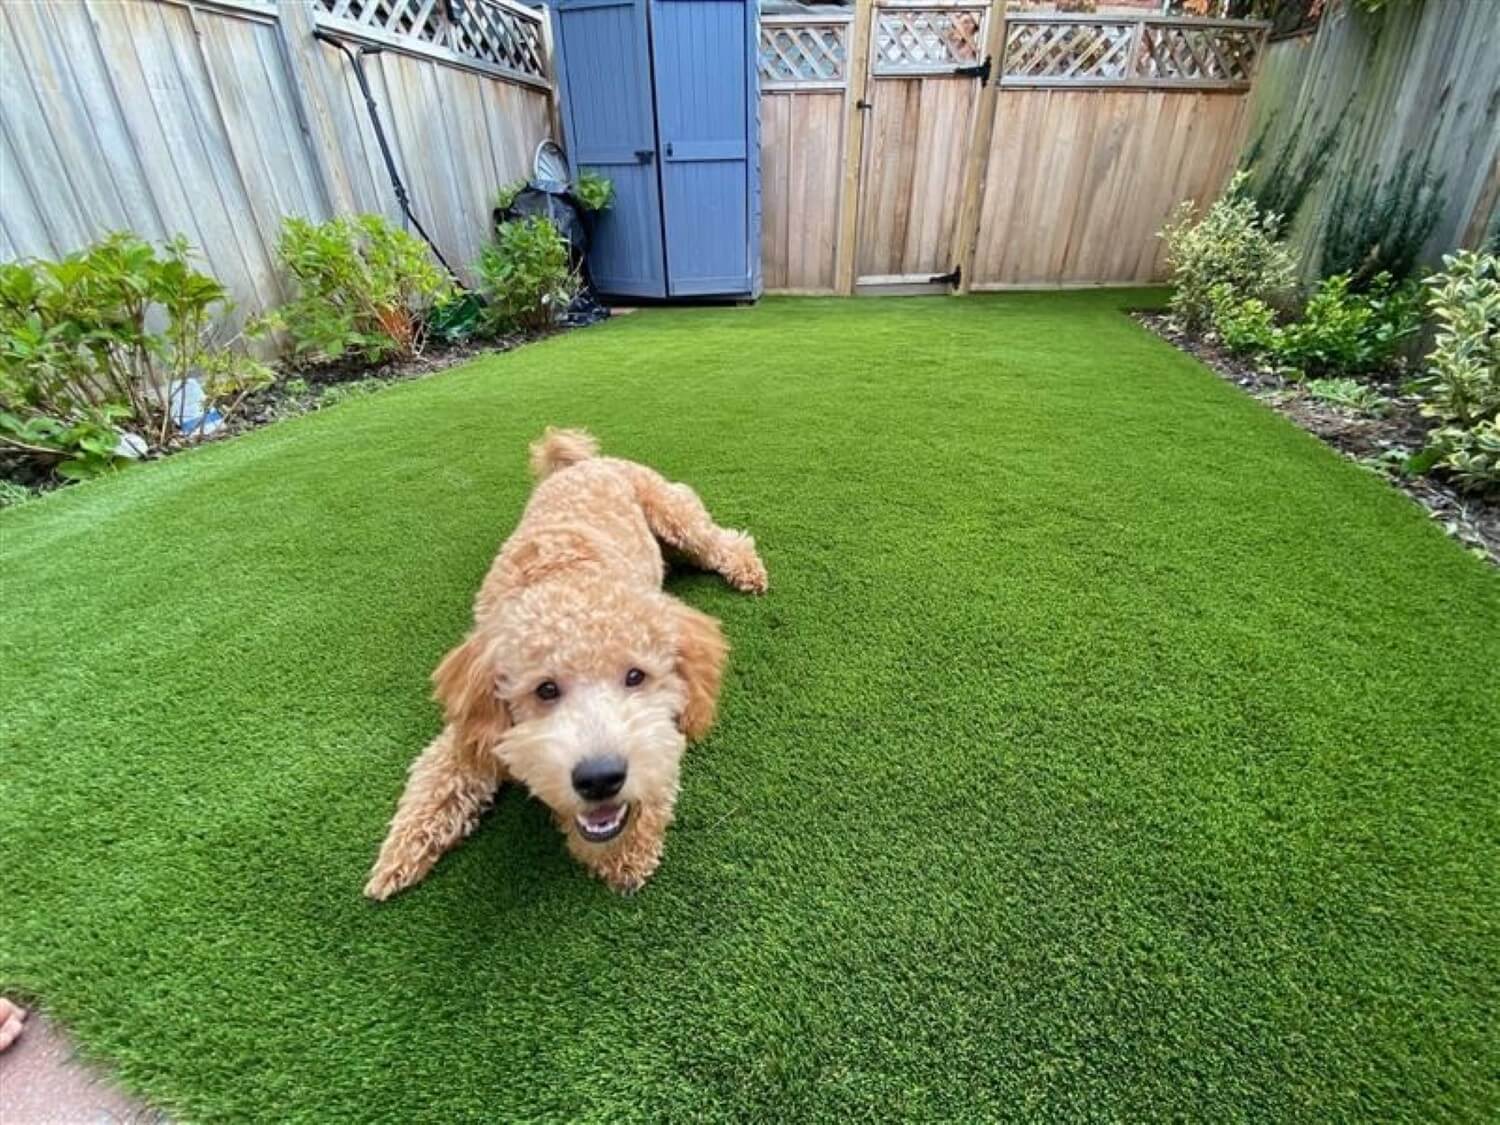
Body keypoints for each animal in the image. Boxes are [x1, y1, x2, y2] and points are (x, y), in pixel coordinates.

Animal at [361, 426, 762, 906]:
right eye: (545, 689)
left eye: (635, 676)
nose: (600, 778)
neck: (562, 577)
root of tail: (581, 464)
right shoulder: (471, 730)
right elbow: (435, 784)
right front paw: (396, 858)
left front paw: (625, 856)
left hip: (676, 515)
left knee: (723, 539)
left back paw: (748, 569)